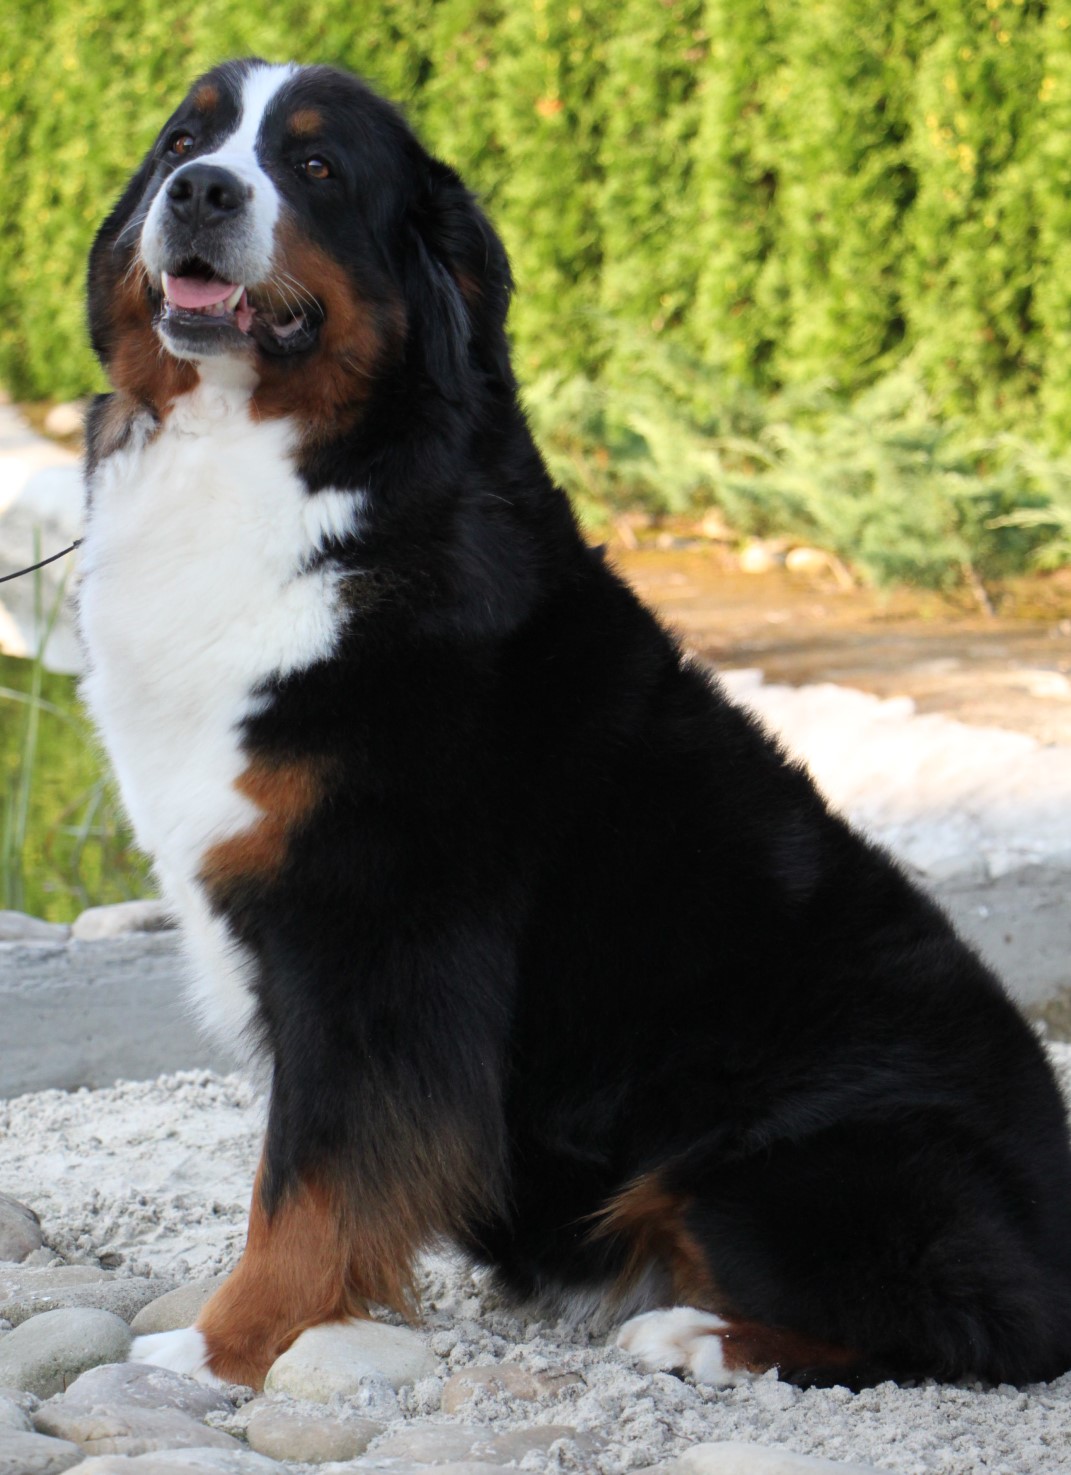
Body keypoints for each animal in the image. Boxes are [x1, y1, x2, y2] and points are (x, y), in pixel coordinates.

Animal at [78, 57, 1071, 1392]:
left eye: (315, 164)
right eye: (185, 141)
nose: (201, 193)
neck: (282, 469)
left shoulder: (376, 937)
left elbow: (309, 1182)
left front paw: (224, 1346)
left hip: (793, 1155)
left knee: (978, 1321)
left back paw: (696, 1334)